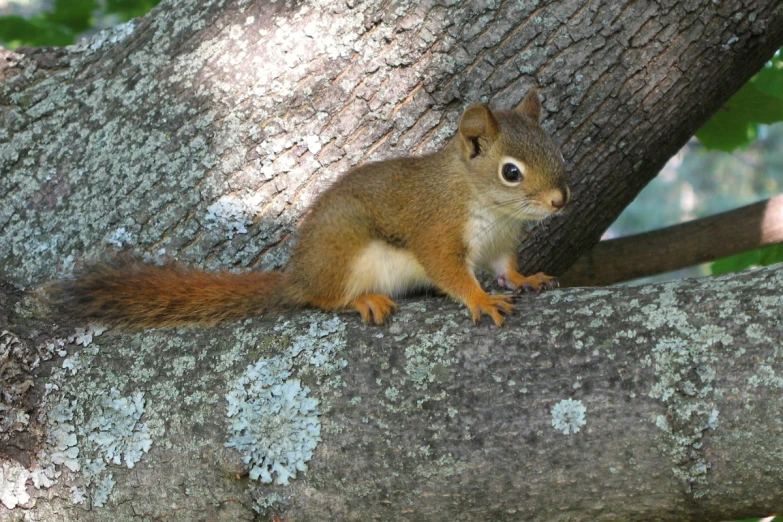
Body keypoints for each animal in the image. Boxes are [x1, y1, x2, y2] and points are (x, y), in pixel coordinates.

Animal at [53, 87, 568, 328]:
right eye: (511, 172)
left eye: (556, 151)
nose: (559, 201)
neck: (493, 210)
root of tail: (298, 274)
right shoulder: (436, 228)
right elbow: (450, 273)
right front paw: (481, 299)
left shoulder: (500, 244)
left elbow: (505, 268)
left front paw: (527, 279)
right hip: (345, 250)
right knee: (323, 299)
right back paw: (362, 299)